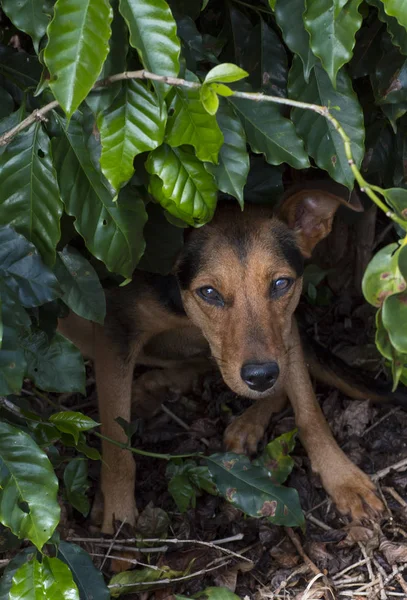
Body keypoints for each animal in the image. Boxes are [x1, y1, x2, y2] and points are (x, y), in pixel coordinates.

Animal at [60, 185, 402, 532]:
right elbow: (116, 446)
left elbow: (309, 411)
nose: (261, 376)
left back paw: (242, 420)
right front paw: (118, 520)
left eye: (281, 284)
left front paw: (343, 478)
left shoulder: (285, 330)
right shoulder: (115, 326)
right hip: (71, 322)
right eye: (209, 292)